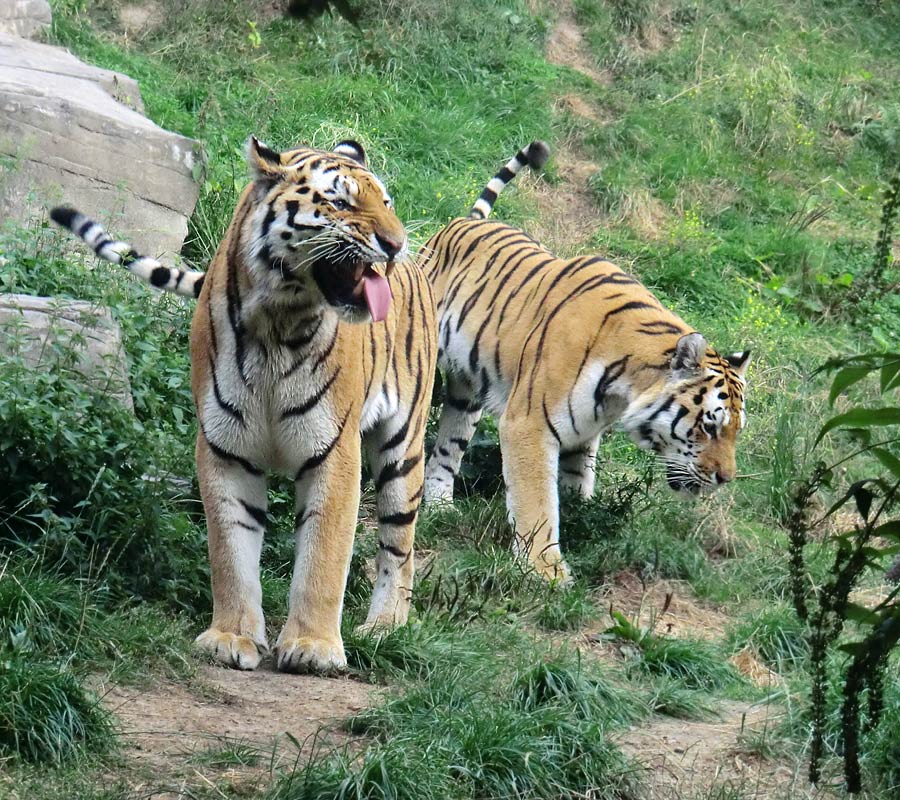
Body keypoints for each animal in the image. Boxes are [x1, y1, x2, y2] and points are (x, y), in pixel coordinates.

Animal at [51, 138, 438, 676]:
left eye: (386, 202)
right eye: (340, 202)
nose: (396, 245)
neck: (279, 317)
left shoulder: (335, 451)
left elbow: (324, 553)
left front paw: (313, 648)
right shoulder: (224, 448)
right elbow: (231, 550)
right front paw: (231, 637)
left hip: (403, 447)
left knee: (398, 544)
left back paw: (385, 627)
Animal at [422, 142, 752, 580]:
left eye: (736, 431)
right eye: (709, 426)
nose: (725, 479)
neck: (624, 388)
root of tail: (462, 222)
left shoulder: (584, 428)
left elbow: (576, 481)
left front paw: (582, 522)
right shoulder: (527, 424)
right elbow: (537, 503)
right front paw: (546, 572)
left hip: (467, 393)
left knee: (448, 447)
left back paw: (439, 507)